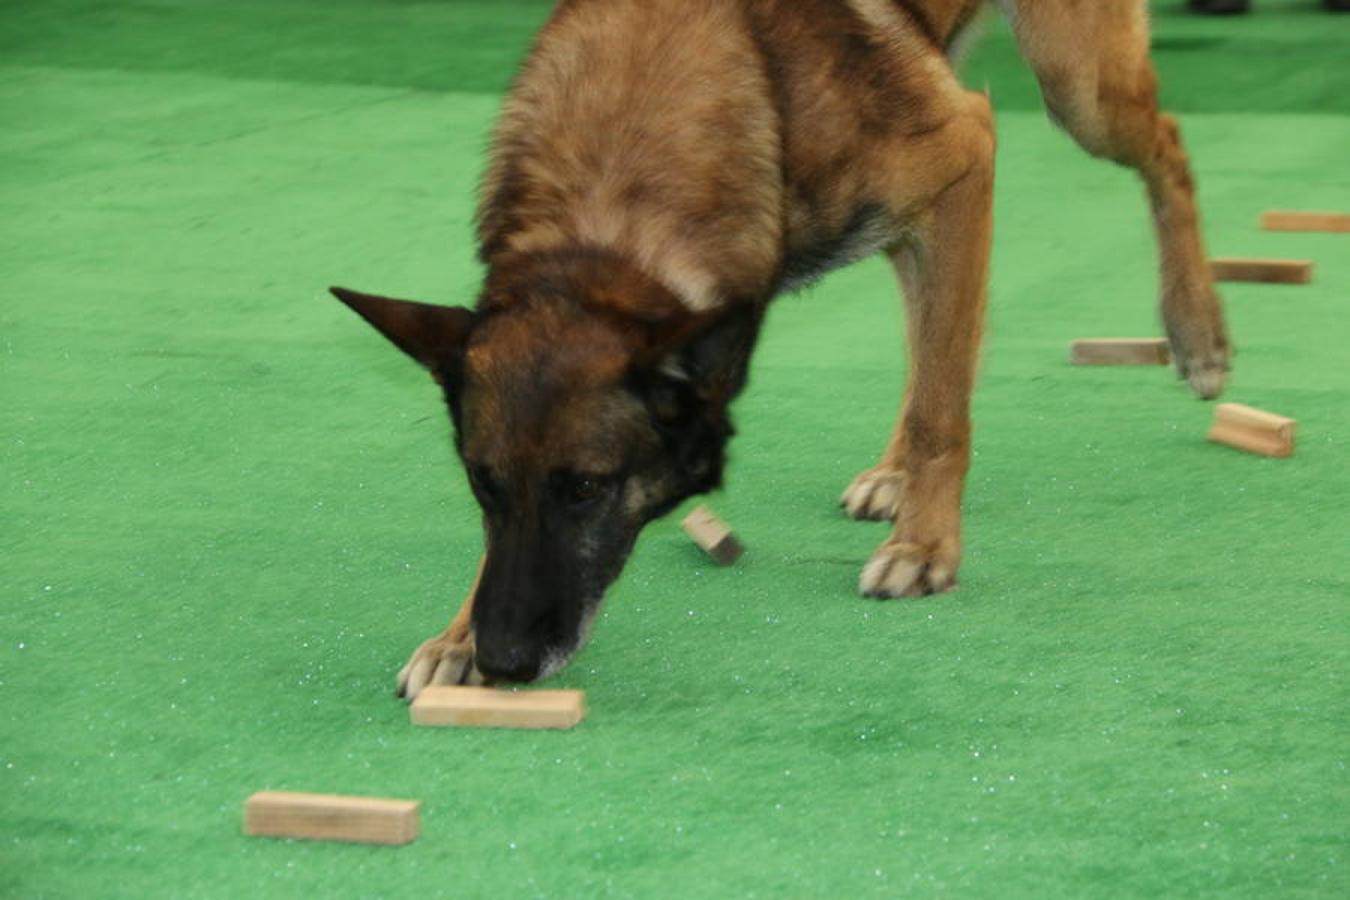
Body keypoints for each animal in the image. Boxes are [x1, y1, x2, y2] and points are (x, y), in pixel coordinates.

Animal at [326, 0, 1225, 696]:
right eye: (482, 483)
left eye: (586, 489)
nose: (507, 660)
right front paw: (457, 636)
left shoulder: (968, 153)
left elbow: (942, 412)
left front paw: (927, 549)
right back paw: (894, 473)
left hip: (1077, 85)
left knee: (1169, 144)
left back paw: (1199, 331)